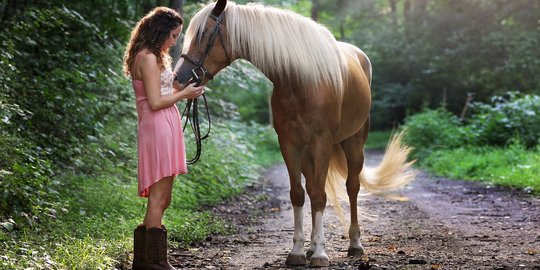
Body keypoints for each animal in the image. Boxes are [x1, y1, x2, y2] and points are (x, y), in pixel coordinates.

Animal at [175, 0, 416, 266]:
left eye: (204, 34)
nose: (179, 78)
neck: (301, 81)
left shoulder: (322, 142)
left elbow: (320, 195)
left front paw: (321, 254)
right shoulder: (289, 144)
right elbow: (298, 194)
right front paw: (299, 251)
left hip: (353, 144)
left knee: (352, 187)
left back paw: (354, 244)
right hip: (308, 153)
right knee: (311, 187)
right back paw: (311, 247)